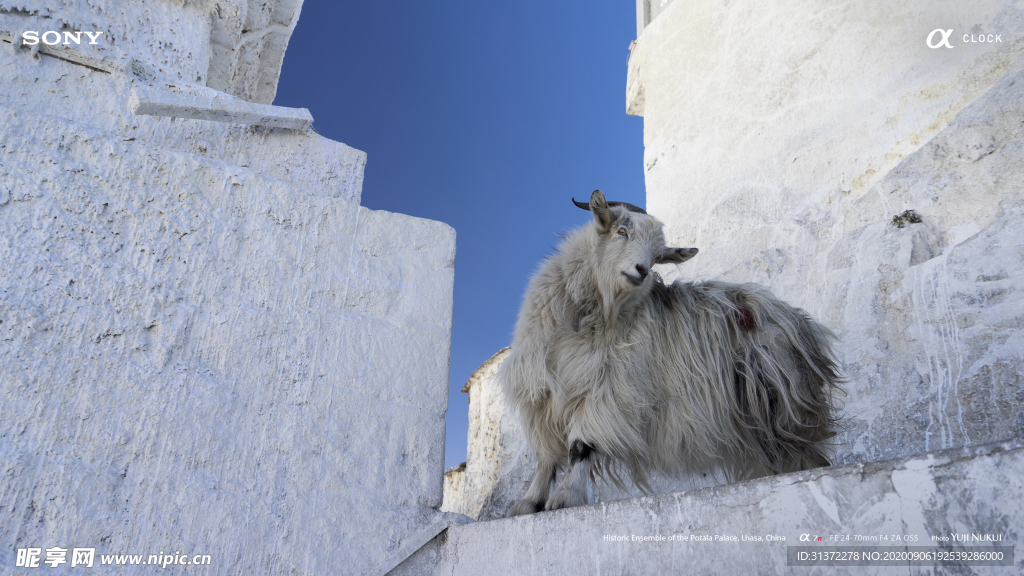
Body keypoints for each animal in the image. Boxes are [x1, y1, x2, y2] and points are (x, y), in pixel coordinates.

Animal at [497, 190, 839, 512]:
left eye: (658, 255)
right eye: (622, 230)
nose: (640, 271)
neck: (588, 318)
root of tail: (798, 319)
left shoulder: (608, 389)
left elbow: (580, 446)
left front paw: (567, 497)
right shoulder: (541, 395)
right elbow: (545, 459)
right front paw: (528, 504)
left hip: (779, 403)